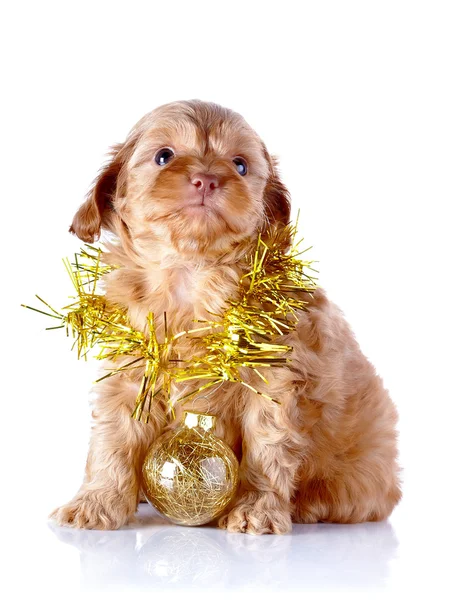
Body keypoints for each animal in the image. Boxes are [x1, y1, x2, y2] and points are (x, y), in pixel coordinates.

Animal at [50, 99, 400, 536]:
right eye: (163, 156)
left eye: (240, 165)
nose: (207, 179)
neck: (190, 273)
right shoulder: (131, 374)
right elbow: (112, 439)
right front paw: (96, 502)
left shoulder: (272, 379)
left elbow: (267, 447)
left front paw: (257, 509)